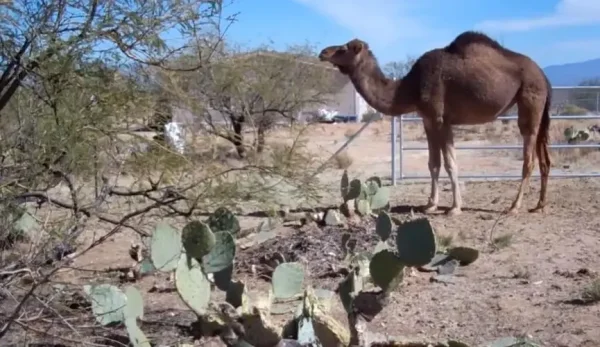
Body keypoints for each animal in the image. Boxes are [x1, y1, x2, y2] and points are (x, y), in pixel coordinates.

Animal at [318, 31, 552, 216]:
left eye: (344, 48)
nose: (323, 52)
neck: (410, 87)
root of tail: (543, 76)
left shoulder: (440, 119)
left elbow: (450, 163)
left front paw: (455, 208)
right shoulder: (427, 120)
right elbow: (433, 164)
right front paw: (431, 204)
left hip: (530, 99)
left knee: (528, 157)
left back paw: (514, 206)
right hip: (539, 110)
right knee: (545, 159)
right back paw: (540, 205)